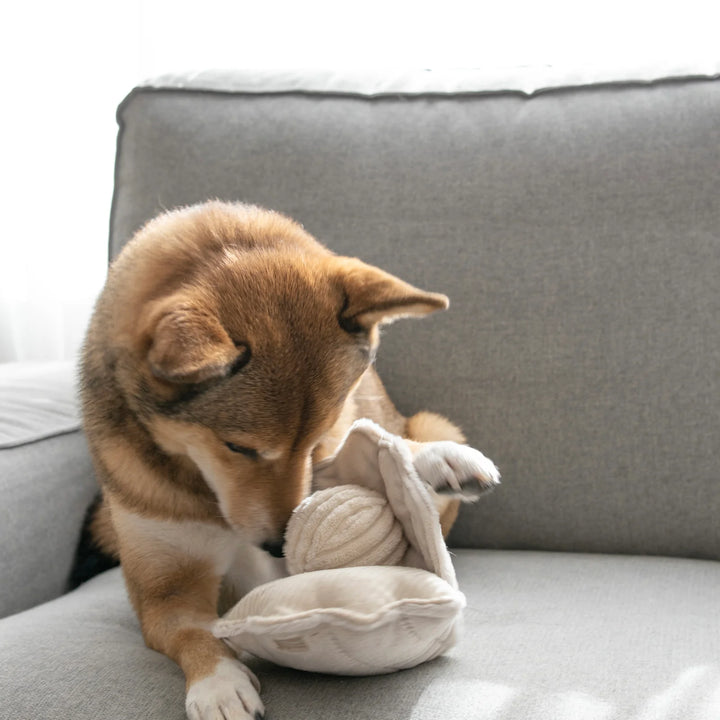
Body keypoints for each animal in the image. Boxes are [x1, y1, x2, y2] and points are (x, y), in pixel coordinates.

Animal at [77, 201, 496, 720]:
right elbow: (195, 632)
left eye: (315, 440)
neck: (207, 494)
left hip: (428, 425)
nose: (278, 546)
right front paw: (219, 683)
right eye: (238, 447)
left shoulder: (325, 459)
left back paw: (439, 460)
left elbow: (352, 453)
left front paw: (432, 461)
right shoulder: (165, 591)